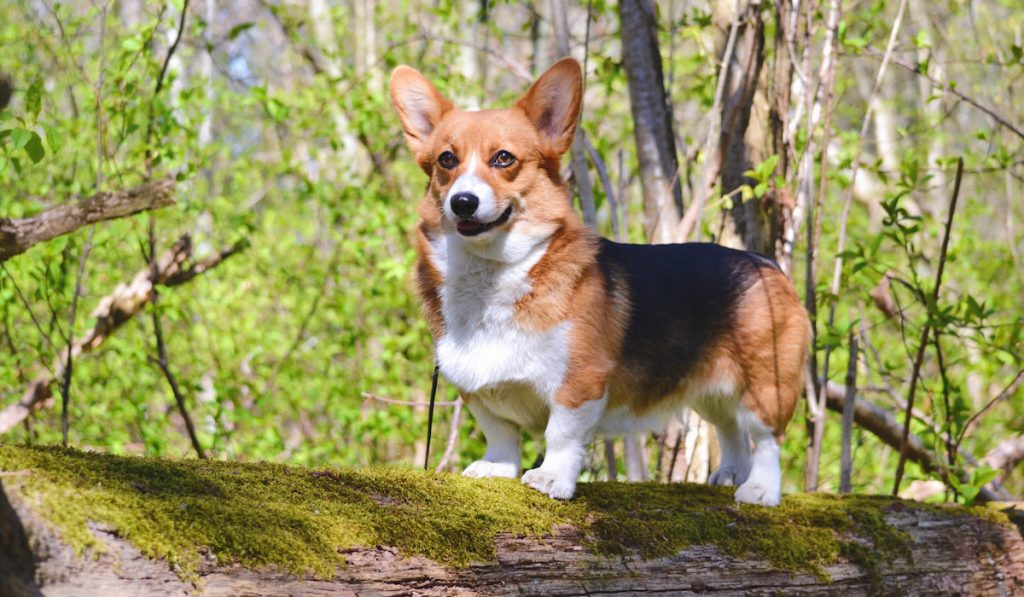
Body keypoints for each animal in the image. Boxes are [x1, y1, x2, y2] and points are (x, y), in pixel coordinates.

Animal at [387, 56, 811, 507]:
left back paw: (761, 488)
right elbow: (500, 432)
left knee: (765, 437)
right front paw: (496, 467)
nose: (463, 202)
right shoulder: (478, 390)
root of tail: (766, 263)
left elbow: (561, 434)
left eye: (503, 158)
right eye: (447, 160)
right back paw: (731, 472)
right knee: (730, 427)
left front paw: (551, 478)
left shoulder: (579, 384)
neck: (492, 275)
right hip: (710, 391)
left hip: (766, 384)